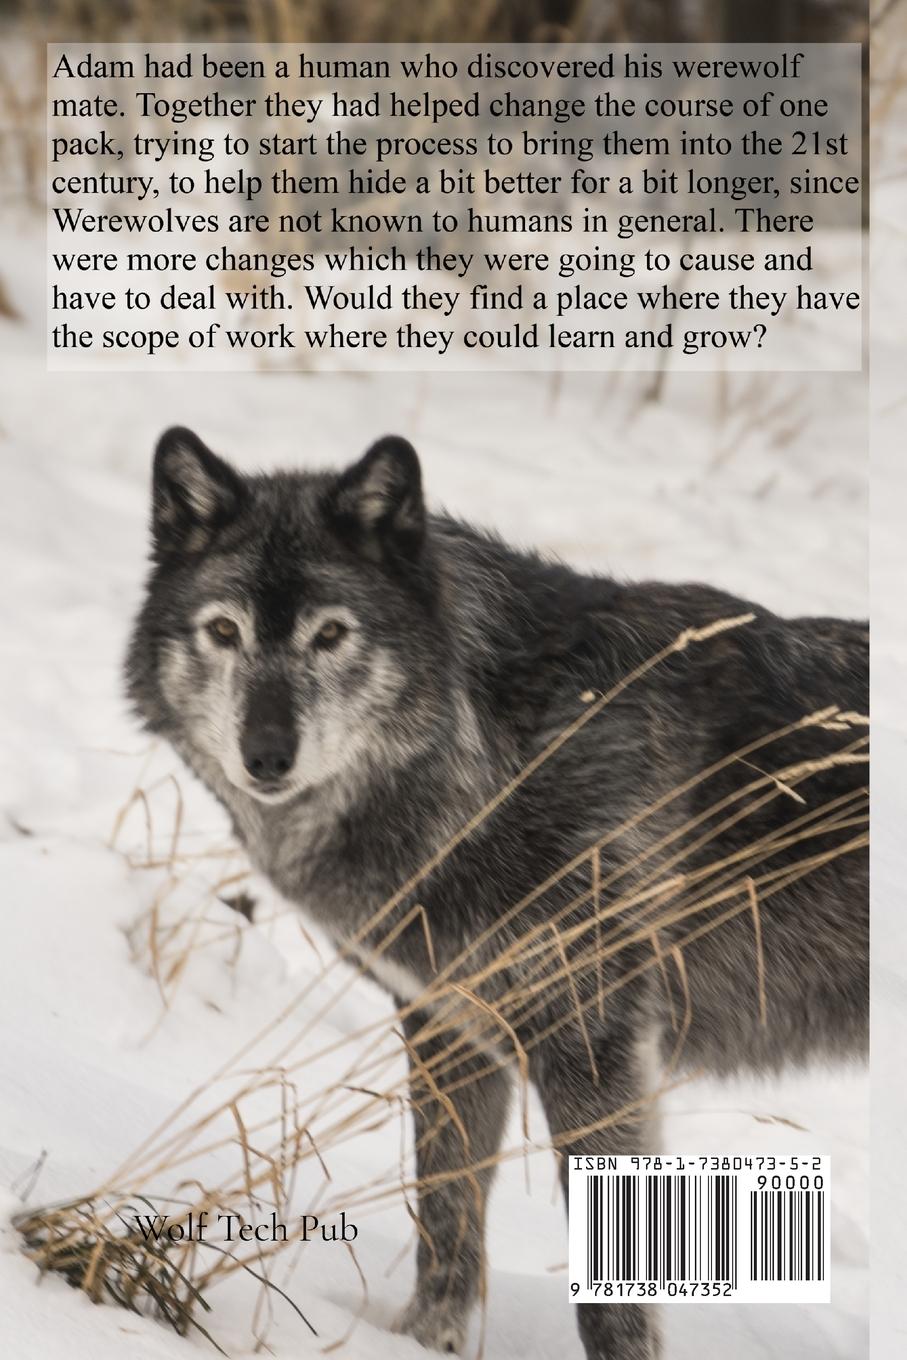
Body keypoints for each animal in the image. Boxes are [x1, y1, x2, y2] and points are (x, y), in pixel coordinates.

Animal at [126, 427, 868, 1360]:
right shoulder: (446, 1027)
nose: (266, 755)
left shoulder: (591, 1046)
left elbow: (611, 1300)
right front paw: (425, 1341)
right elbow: (445, 1218)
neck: (490, 747)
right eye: (223, 630)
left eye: (331, 634)